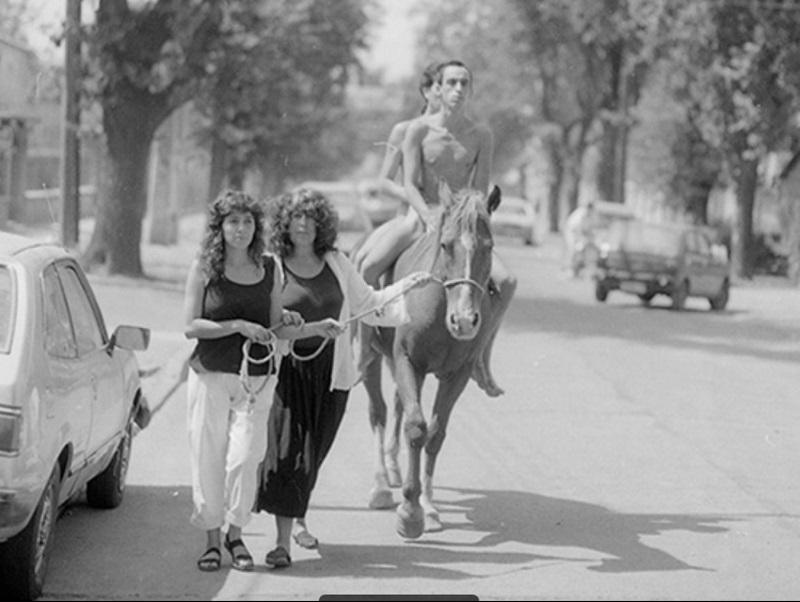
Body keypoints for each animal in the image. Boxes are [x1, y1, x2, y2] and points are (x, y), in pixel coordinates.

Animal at [360, 184, 504, 540]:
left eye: (489, 246)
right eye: (445, 244)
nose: (464, 321)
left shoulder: (457, 375)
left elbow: (435, 434)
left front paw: (427, 505)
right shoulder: (407, 360)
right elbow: (416, 427)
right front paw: (410, 513)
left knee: (398, 404)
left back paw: (394, 469)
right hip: (372, 358)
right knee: (378, 411)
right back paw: (381, 486)